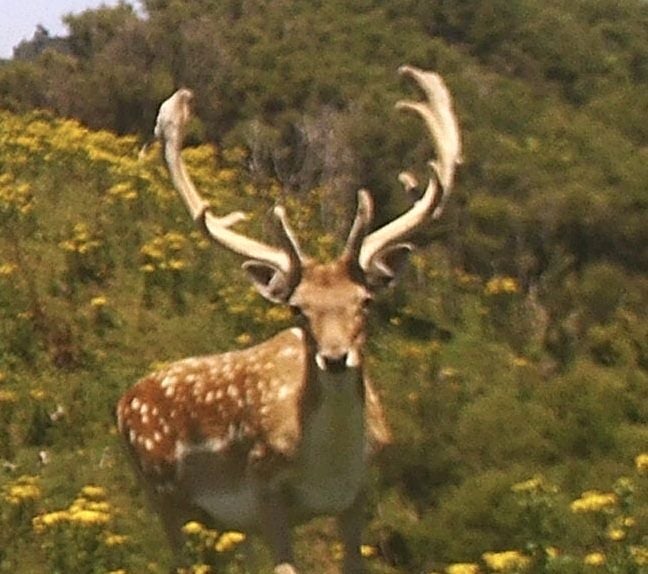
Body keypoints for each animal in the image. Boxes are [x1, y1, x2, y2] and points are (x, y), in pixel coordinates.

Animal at [116, 65, 461, 574]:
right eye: (299, 308)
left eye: (365, 301)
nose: (335, 358)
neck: (327, 468)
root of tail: (122, 402)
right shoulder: (265, 490)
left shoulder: (358, 494)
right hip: (164, 497)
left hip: (220, 523)